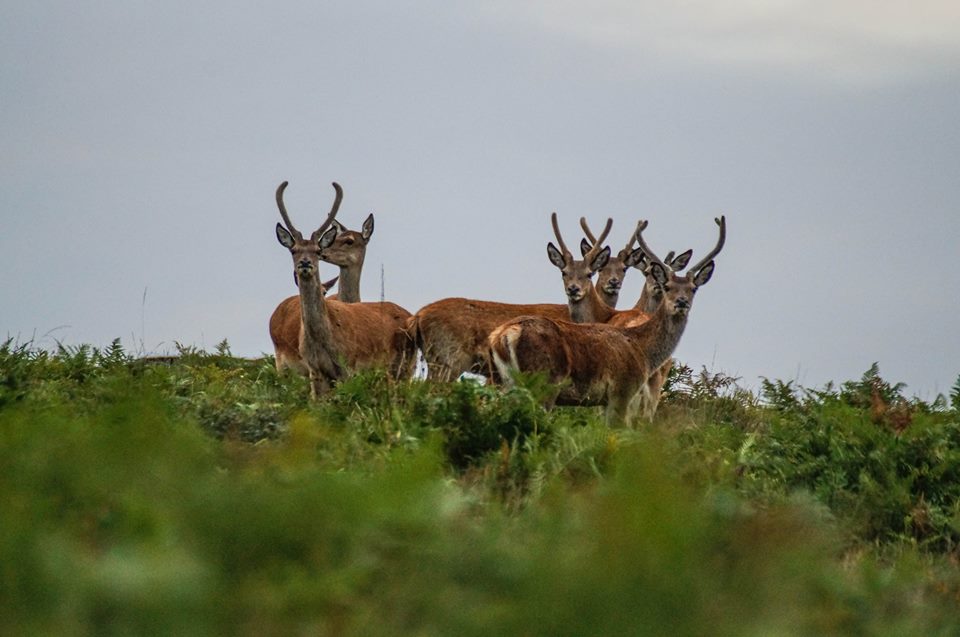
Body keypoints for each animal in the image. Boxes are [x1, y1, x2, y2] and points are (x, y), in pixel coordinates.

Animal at [269, 181, 416, 398]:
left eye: (316, 250)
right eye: (293, 250)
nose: (305, 263)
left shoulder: (349, 366)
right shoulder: (315, 370)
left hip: (405, 367)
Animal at [489, 216, 725, 427]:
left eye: (693, 289)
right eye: (667, 286)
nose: (681, 302)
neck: (643, 350)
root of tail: (504, 335)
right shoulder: (622, 390)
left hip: (506, 381)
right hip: (543, 382)